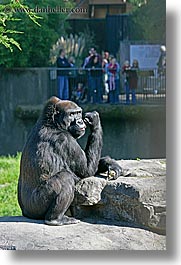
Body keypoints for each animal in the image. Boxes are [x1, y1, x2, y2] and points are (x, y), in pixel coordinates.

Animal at [17, 97, 122, 225]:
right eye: (71, 114)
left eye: (78, 113)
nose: (80, 121)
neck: (52, 123)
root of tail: (25, 213)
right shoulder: (65, 139)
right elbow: (88, 170)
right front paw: (95, 121)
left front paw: (110, 164)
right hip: (36, 205)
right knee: (65, 178)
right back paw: (55, 219)